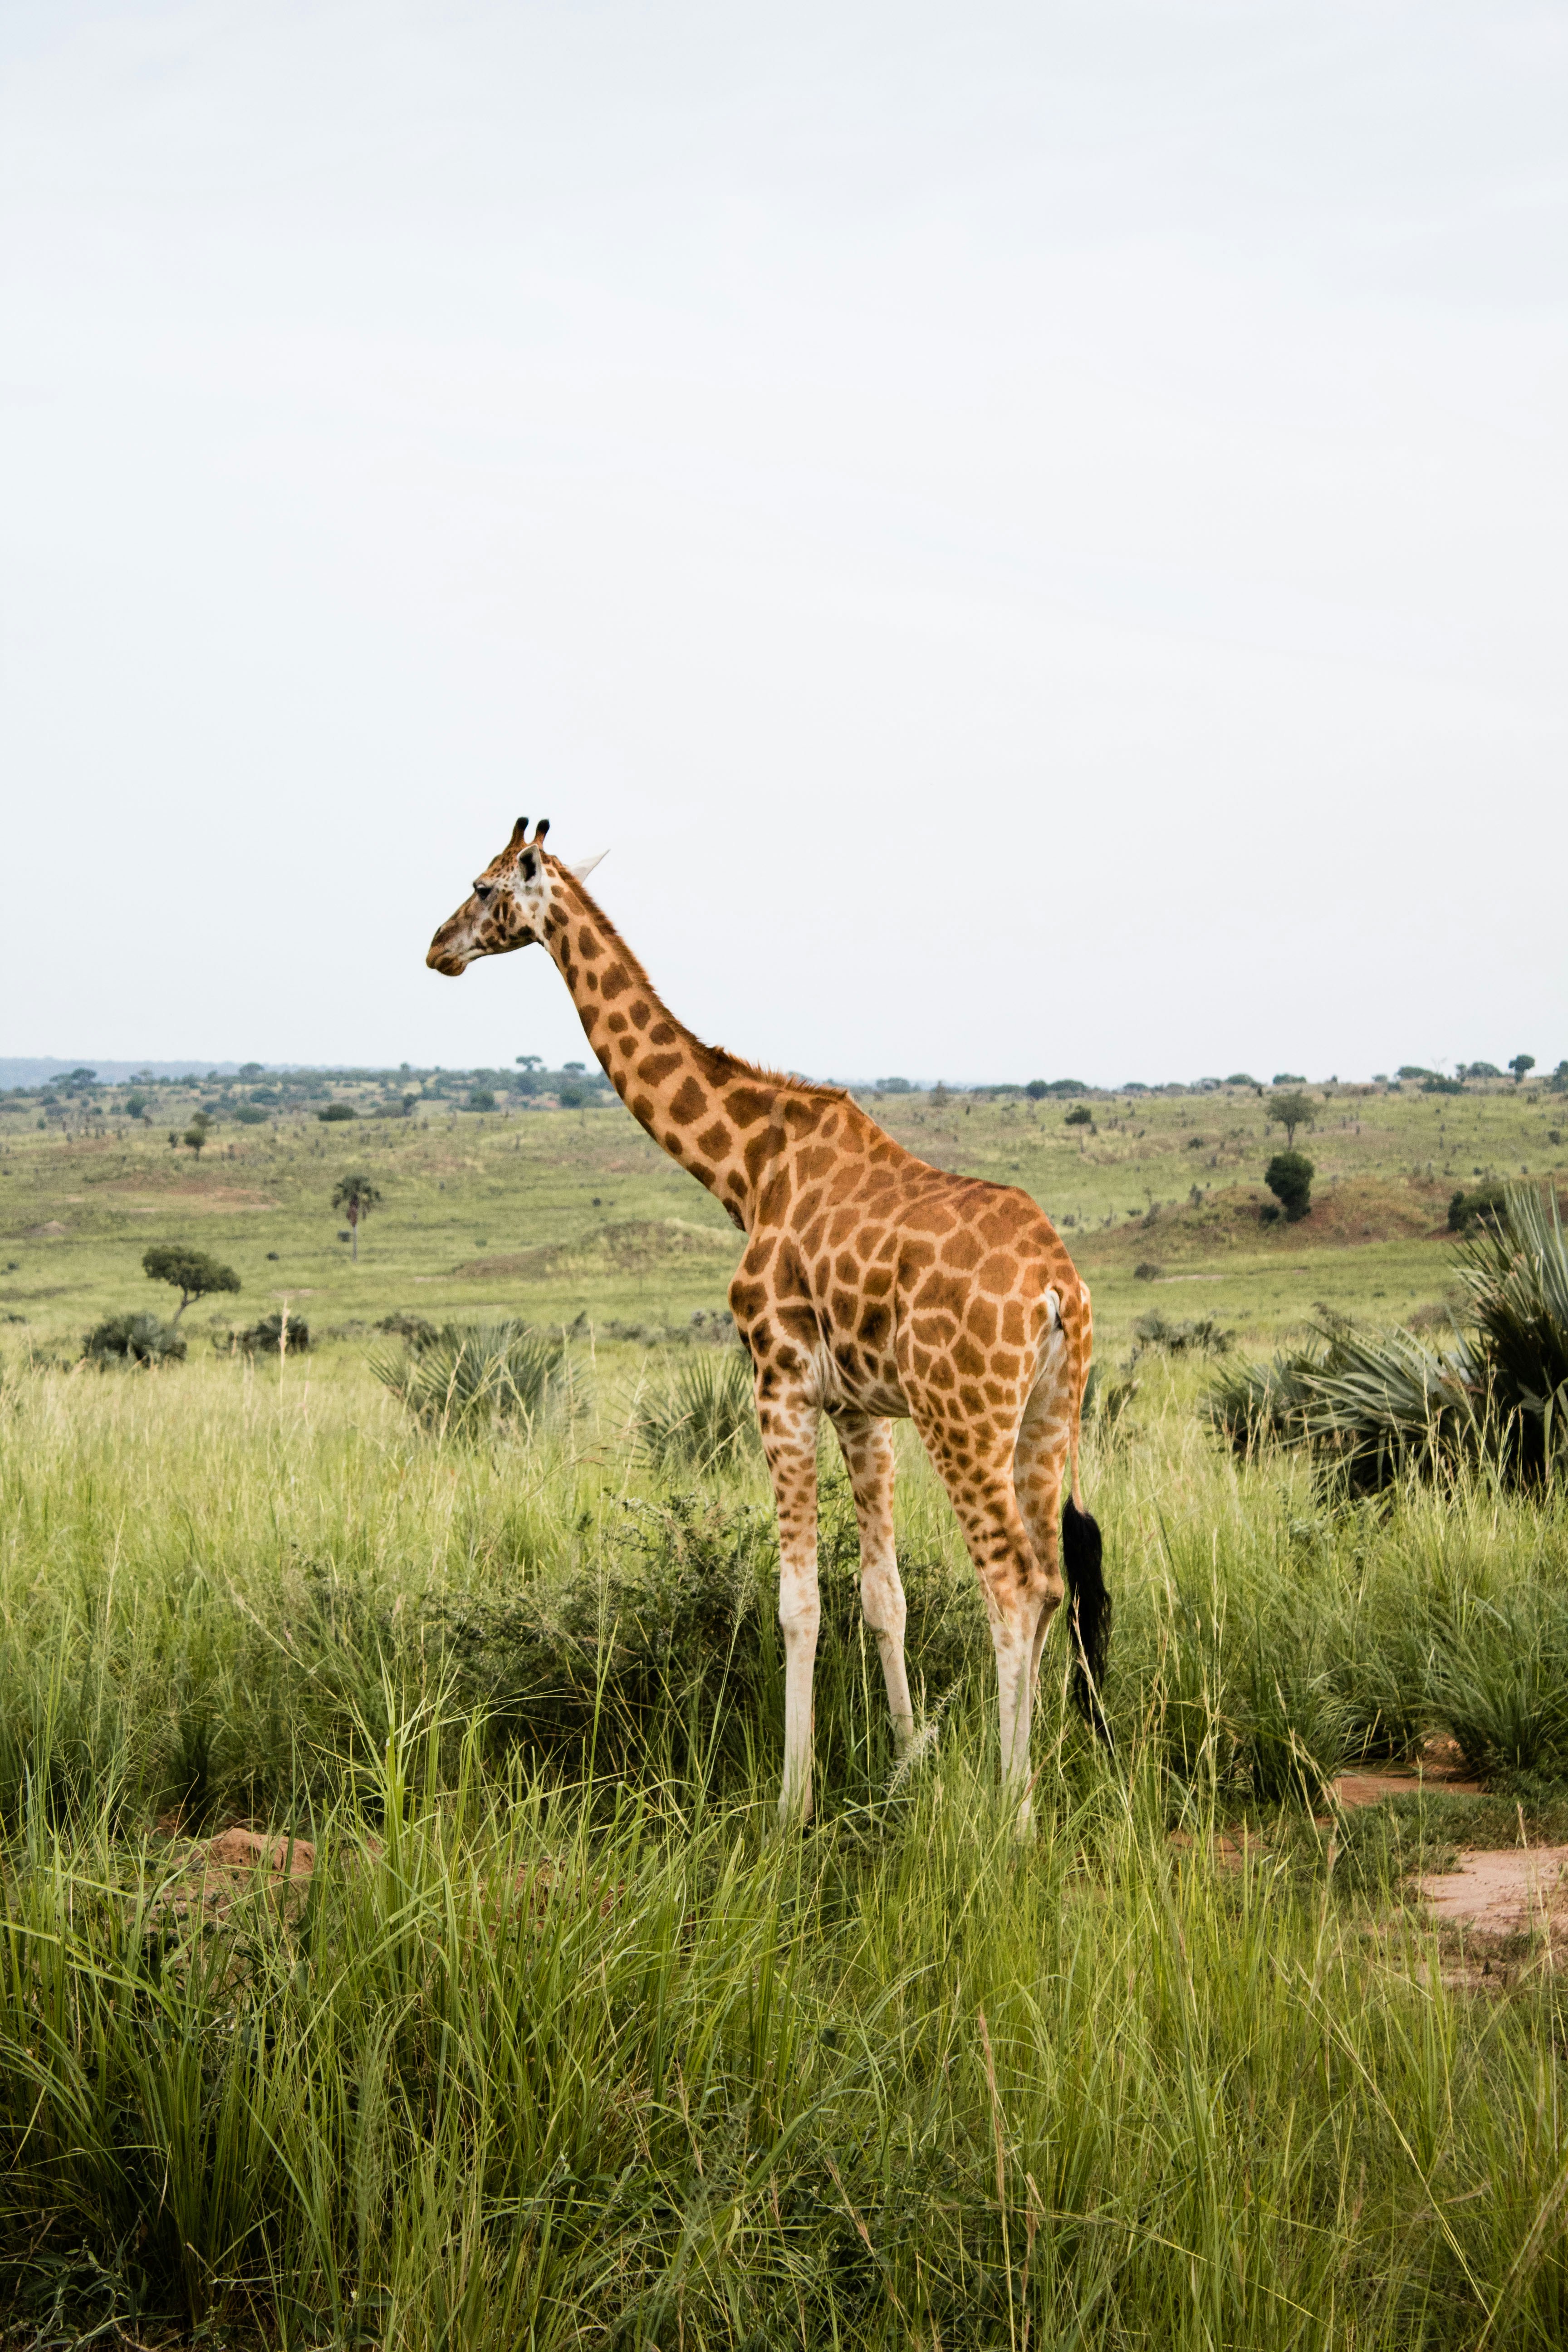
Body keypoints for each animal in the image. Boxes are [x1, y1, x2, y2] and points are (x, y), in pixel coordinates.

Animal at [427, 818, 1110, 1824]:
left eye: (482, 887)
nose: (436, 948)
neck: (746, 1168)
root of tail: (1058, 1287)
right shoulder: (860, 1407)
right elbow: (881, 1593)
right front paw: (903, 1765)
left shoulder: (778, 1382)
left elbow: (797, 1602)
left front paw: (793, 1802)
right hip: (1048, 1413)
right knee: (1054, 1579)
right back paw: (1028, 1785)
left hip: (964, 1415)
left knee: (1013, 1585)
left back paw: (1012, 1810)